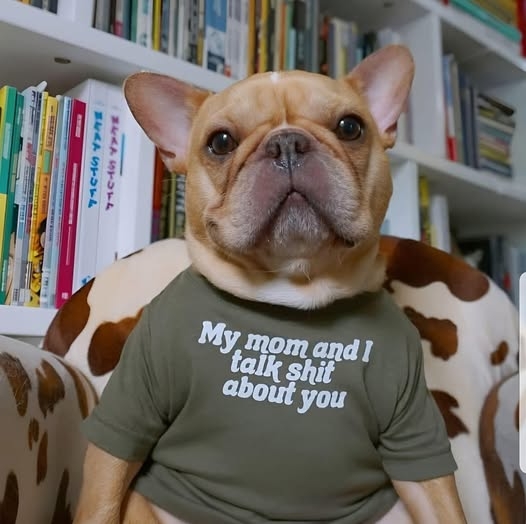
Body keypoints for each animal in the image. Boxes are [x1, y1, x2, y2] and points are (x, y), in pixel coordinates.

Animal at [73, 45, 466, 523]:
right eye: (221, 142)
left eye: (350, 127)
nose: (287, 143)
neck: (293, 289)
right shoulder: (130, 414)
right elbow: (101, 501)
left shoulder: (412, 435)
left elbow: (446, 508)